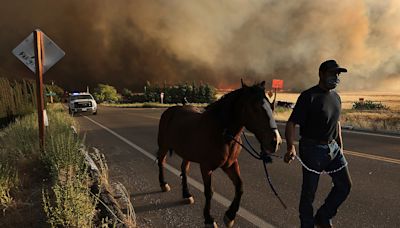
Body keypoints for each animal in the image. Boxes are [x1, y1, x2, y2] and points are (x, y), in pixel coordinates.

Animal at [156, 81, 282, 227]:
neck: (222, 133)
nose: (276, 142)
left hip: (186, 153)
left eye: (272, 106)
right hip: (164, 146)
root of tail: (170, 111)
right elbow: (209, 192)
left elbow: (240, 187)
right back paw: (163, 184)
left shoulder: (230, 165)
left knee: (184, 169)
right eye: (255, 108)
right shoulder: (206, 167)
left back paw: (187, 194)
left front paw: (230, 216)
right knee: (161, 162)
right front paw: (209, 219)